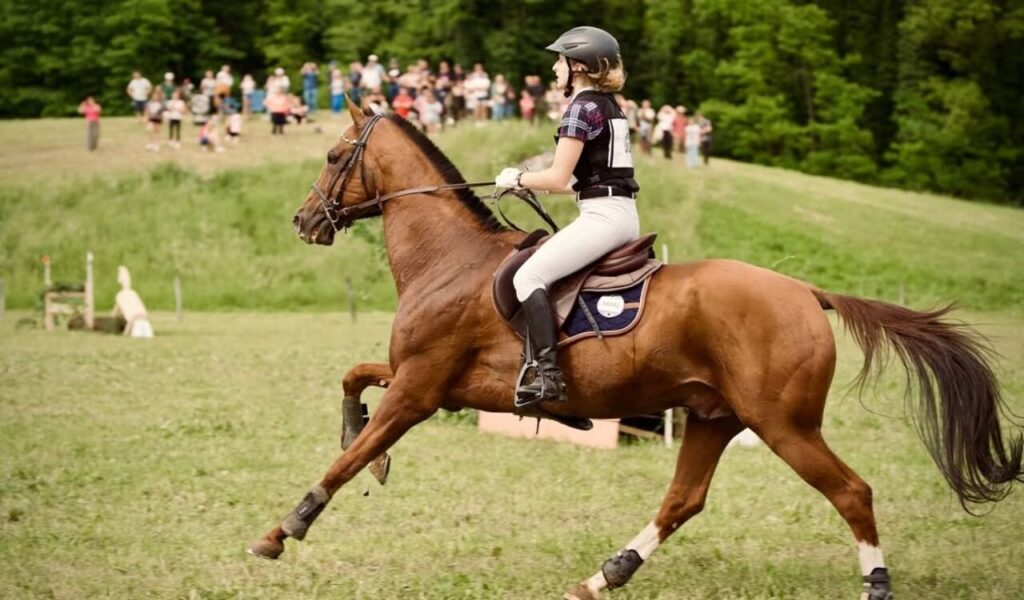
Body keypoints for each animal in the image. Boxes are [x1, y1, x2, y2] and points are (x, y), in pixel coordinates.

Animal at [250, 101, 1023, 599]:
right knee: (684, 500)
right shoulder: (433, 382)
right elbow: (353, 382)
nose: (302, 220)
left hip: (784, 425)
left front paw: (284, 528)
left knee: (851, 492)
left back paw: (875, 584)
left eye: (332, 155)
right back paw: (605, 575)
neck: (451, 258)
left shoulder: (421, 388)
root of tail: (806, 291)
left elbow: (346, 459)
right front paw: (368, 453)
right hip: (714, 416)